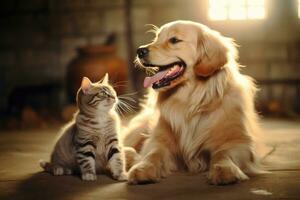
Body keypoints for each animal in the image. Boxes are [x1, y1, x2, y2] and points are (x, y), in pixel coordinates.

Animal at [123, 21, 264, 185]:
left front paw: (224, 169)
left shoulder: (239, 142)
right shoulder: (158, 139)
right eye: (156, 37)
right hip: (138, 129)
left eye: (174, 40)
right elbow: (153, 153)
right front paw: (143, 167)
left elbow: (223, 153)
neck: (190, 102)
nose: (140, 51)